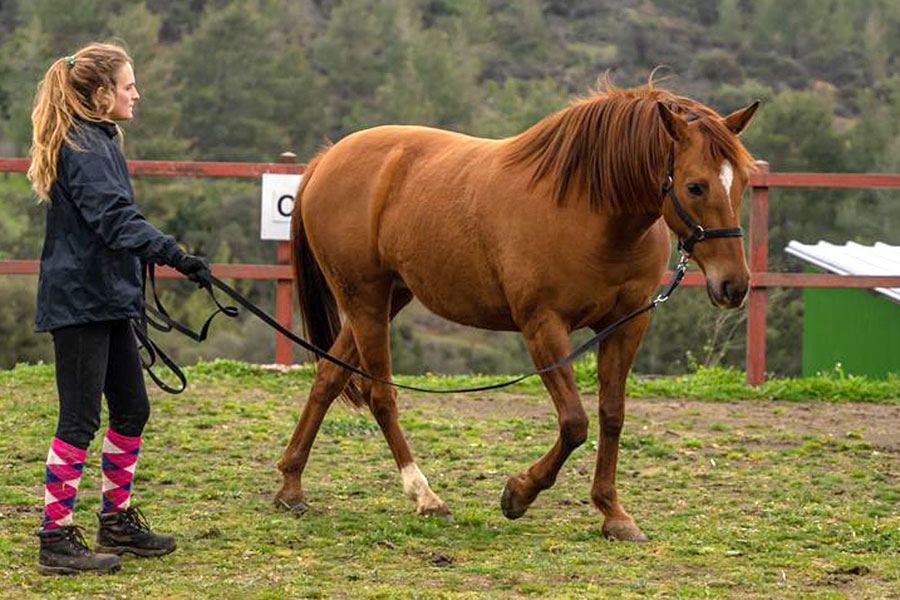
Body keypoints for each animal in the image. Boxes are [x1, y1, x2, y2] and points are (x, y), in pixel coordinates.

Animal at [274, 81, 758, 542]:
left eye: (741, 184)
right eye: (695, 186)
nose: (733, 285)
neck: (589, 210)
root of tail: (328, 159)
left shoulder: (628, 324)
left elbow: (611, 416)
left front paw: (613, 513)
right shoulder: (543, 326)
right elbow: (575, 423)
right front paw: (519, 493)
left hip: (386, 299)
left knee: (328, 378)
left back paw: (291, 485)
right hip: (366, 301)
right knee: (381, 396)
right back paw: (424, 496)